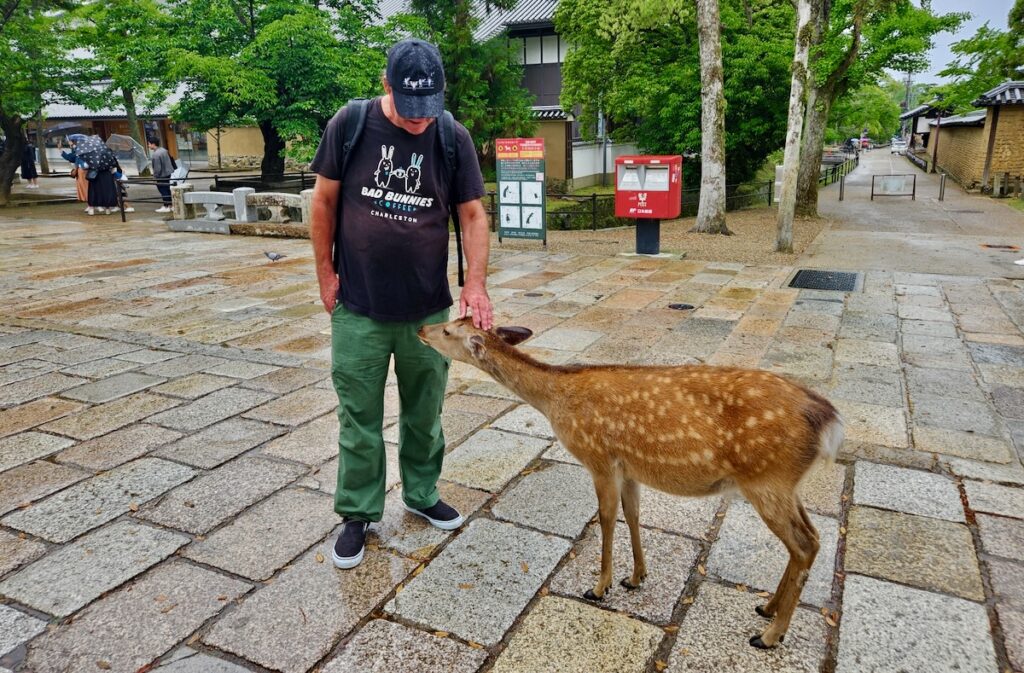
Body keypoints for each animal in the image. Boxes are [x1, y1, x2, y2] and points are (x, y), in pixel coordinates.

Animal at [418, 318, 844, 649]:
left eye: (447, 329)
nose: (421, 328)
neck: (556, 400)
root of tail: (829, 421)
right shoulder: (629, 469)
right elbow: (632, 514)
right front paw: (636, 577)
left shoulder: (599, 459)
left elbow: (606, 519)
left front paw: (599, 587)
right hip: (786, 485)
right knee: (813, 536)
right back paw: (767, 607)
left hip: (767, 481)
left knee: (804, 543)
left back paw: (769, 635)